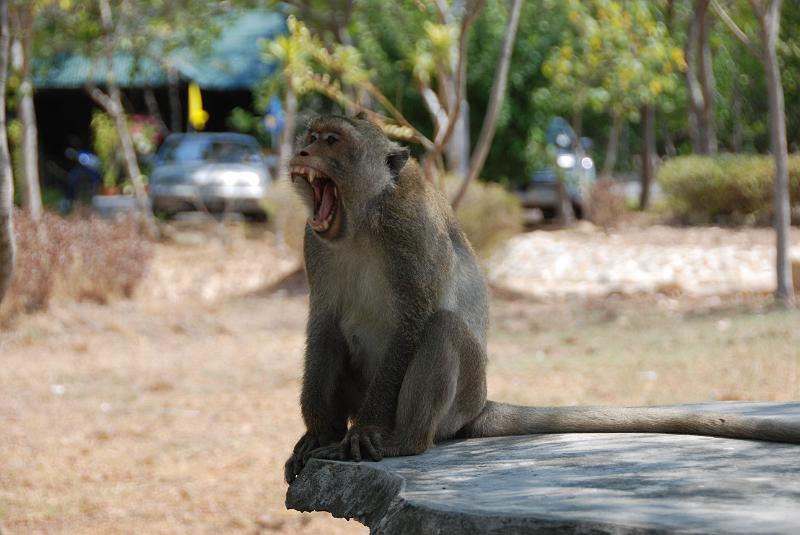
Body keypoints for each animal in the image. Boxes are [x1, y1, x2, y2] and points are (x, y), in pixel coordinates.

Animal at [284, 115, 796, 484]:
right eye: (310, 136)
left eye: (332, 140)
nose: (302, 150)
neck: (363, 218)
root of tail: (478, 406)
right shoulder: (314, 244)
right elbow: (324, 323)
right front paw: (318, 432)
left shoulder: (408, 226)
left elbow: (415, 317)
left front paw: (367, 430)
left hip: (459, 400)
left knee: (443, 328)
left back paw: (404, 441)